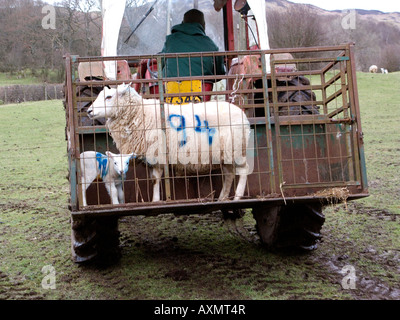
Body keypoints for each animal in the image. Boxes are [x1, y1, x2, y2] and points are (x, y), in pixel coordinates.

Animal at [87, 82, 250, 202]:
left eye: (108, 97)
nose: (88, 111)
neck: (140, 114)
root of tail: (243, 115)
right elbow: (153, 179)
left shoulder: (157, 153)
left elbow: (156, 179)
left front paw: (156, 200)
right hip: (225, 153)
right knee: (229, 174)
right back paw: (222, 198)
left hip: (237, 148)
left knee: (243, 171)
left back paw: (237, 197)